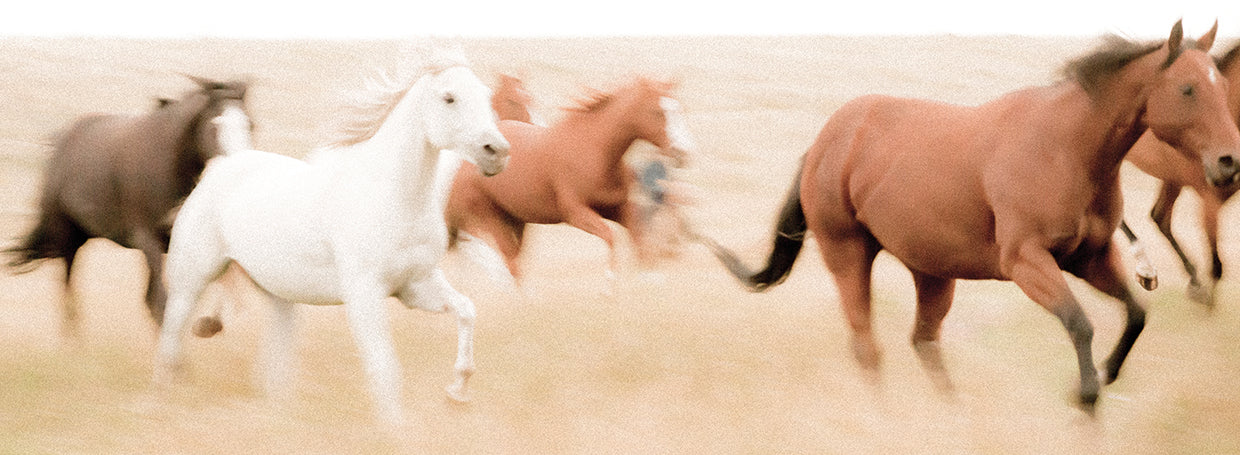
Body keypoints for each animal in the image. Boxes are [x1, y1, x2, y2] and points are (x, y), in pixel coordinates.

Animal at [5, 76, 250, 337]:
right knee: (68, 292)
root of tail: (61, 140)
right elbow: (161, 302)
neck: (169, 163)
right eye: (217, 123)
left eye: (250, 124)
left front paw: (209, 324)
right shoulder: (147, 238)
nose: (242, 163)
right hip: (67, 236)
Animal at [152, 48, 510, 426]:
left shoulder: (417, 286)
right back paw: (165, 396)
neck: (395, 198)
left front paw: (457, 391)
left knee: (275, 362)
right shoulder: (364, 294)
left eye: (486, 95)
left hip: (280, 294)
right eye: (449, 97)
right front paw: (395, 427)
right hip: (192, 278)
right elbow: (384, 365)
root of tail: (226, 163)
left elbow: (466, 311)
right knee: (171, 337)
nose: (497, 151)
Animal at [444, 77, 694, 286]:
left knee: (513, 261)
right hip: (489, 218)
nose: (682, 152)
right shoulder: (575, 213)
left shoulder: (617, 208)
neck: (595, 152)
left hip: (515, 220)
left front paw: (648, 278)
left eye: (680, 108)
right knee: (507, 261)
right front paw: (609, 284)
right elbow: (609, 235)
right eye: (656, 112)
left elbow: (640, 237)